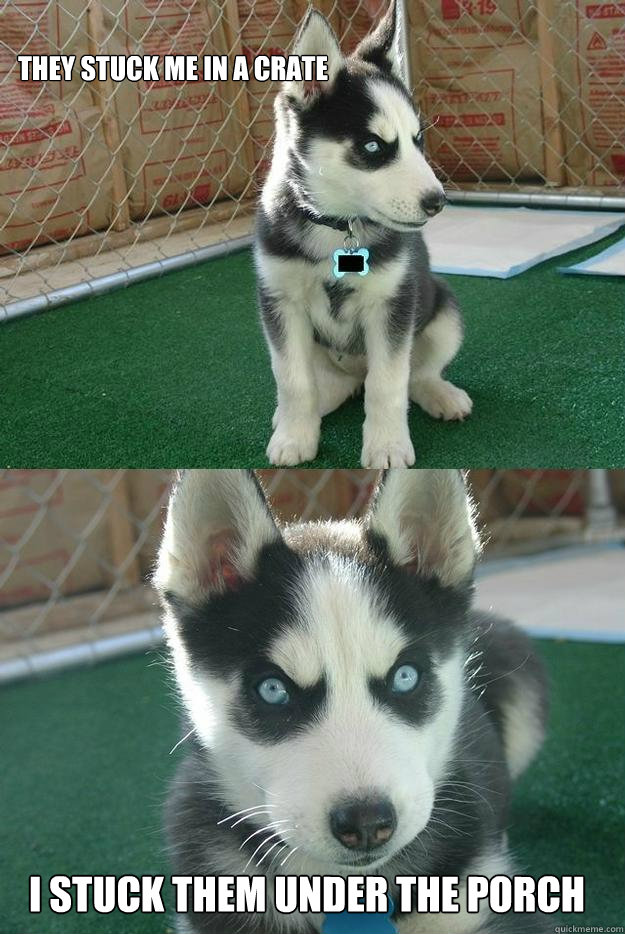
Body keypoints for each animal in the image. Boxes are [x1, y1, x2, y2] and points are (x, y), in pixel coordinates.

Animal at [256, 0, 470, 468]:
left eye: (417, 140)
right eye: (373, 147)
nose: (438, 201)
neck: (338, 226)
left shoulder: (392, 305)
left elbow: (388, 383)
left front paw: (387, 445)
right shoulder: (280, 303)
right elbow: (292, 379)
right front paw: (294, 437)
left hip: (444, 312)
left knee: (414, 374)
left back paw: (440, 394)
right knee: (327, 385)